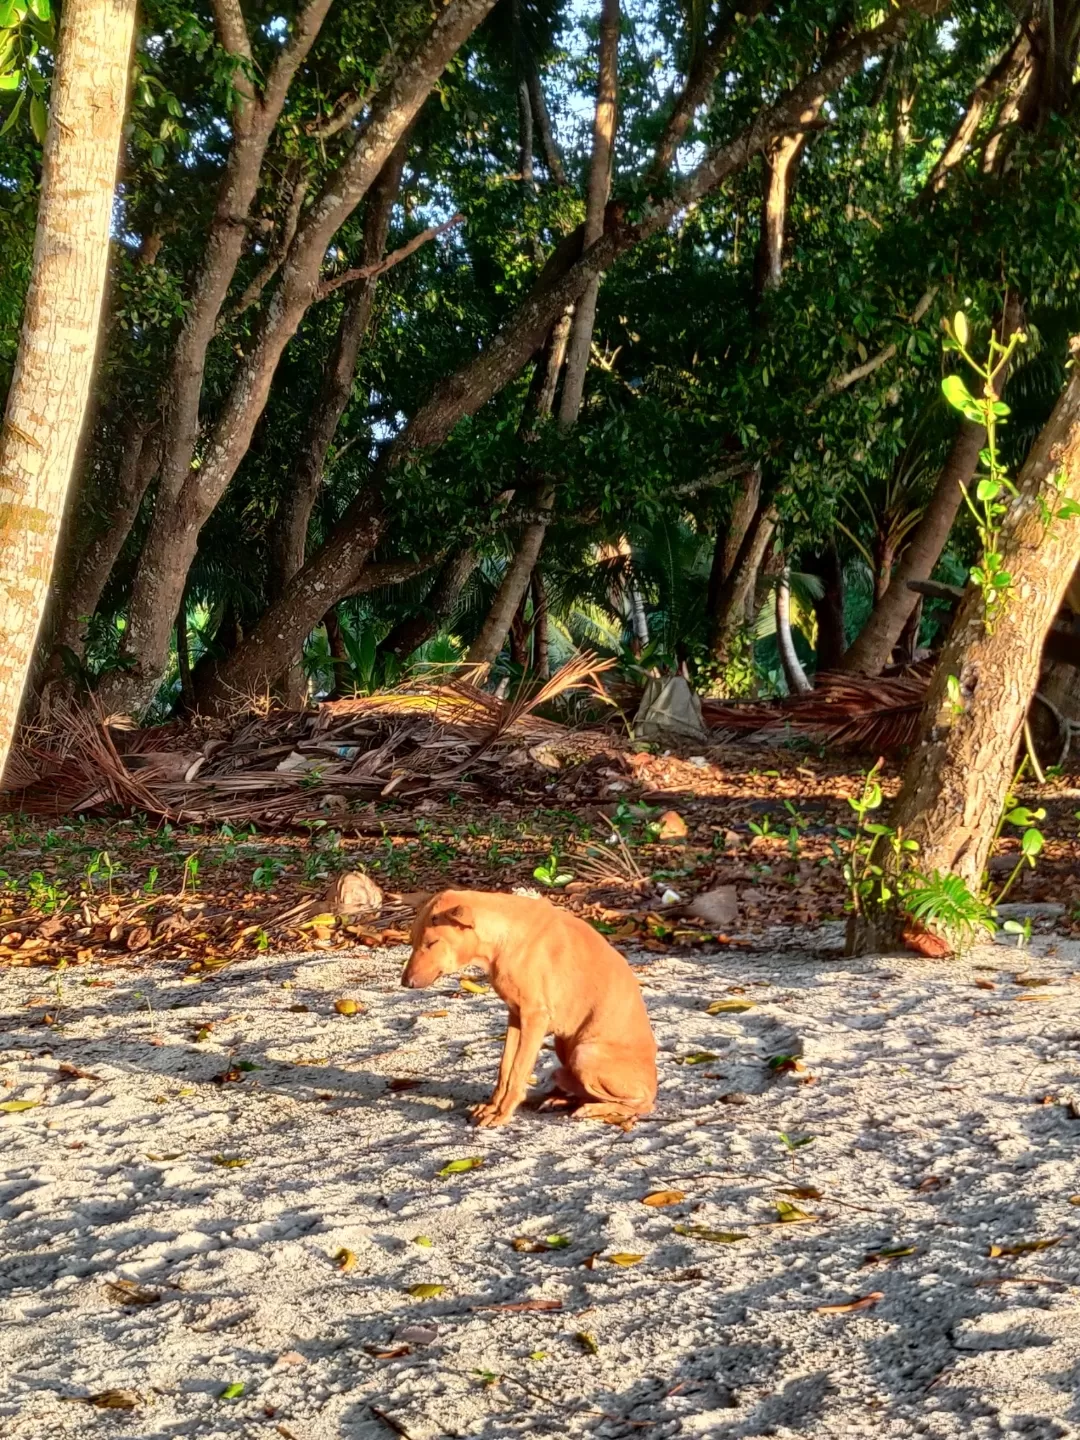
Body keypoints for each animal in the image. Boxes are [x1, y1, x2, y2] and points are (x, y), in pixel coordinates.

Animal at [403, 881, 659, 1128]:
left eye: (432, 942)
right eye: (412, 941)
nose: (405, 983)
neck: (504, 936)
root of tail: (654, 1082)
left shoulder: (535, 1018)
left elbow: (517, 1072)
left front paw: (502, 1114)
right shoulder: (516, 1015)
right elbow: (505, 1068)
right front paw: (491, 1107)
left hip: (585, 1053)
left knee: (641, 1105)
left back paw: (592, 1109)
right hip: (564, 1048)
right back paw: (559, 1100)